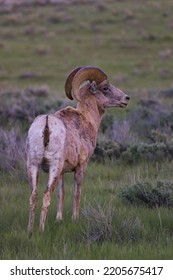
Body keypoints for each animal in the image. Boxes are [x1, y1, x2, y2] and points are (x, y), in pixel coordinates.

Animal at [26, 65, 130, 234]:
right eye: (105, 88)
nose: (126, 99)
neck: (86, 120)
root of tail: (46, 124)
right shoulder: (81, 166)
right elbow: (76, 193)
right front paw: (75, 218)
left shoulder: (62, 172)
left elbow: (61, 194)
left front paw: (59, 219)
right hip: (53, 167)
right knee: (46, 195)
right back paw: (41, 230)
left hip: (33, 166)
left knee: (33, 196)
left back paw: (30, 232)